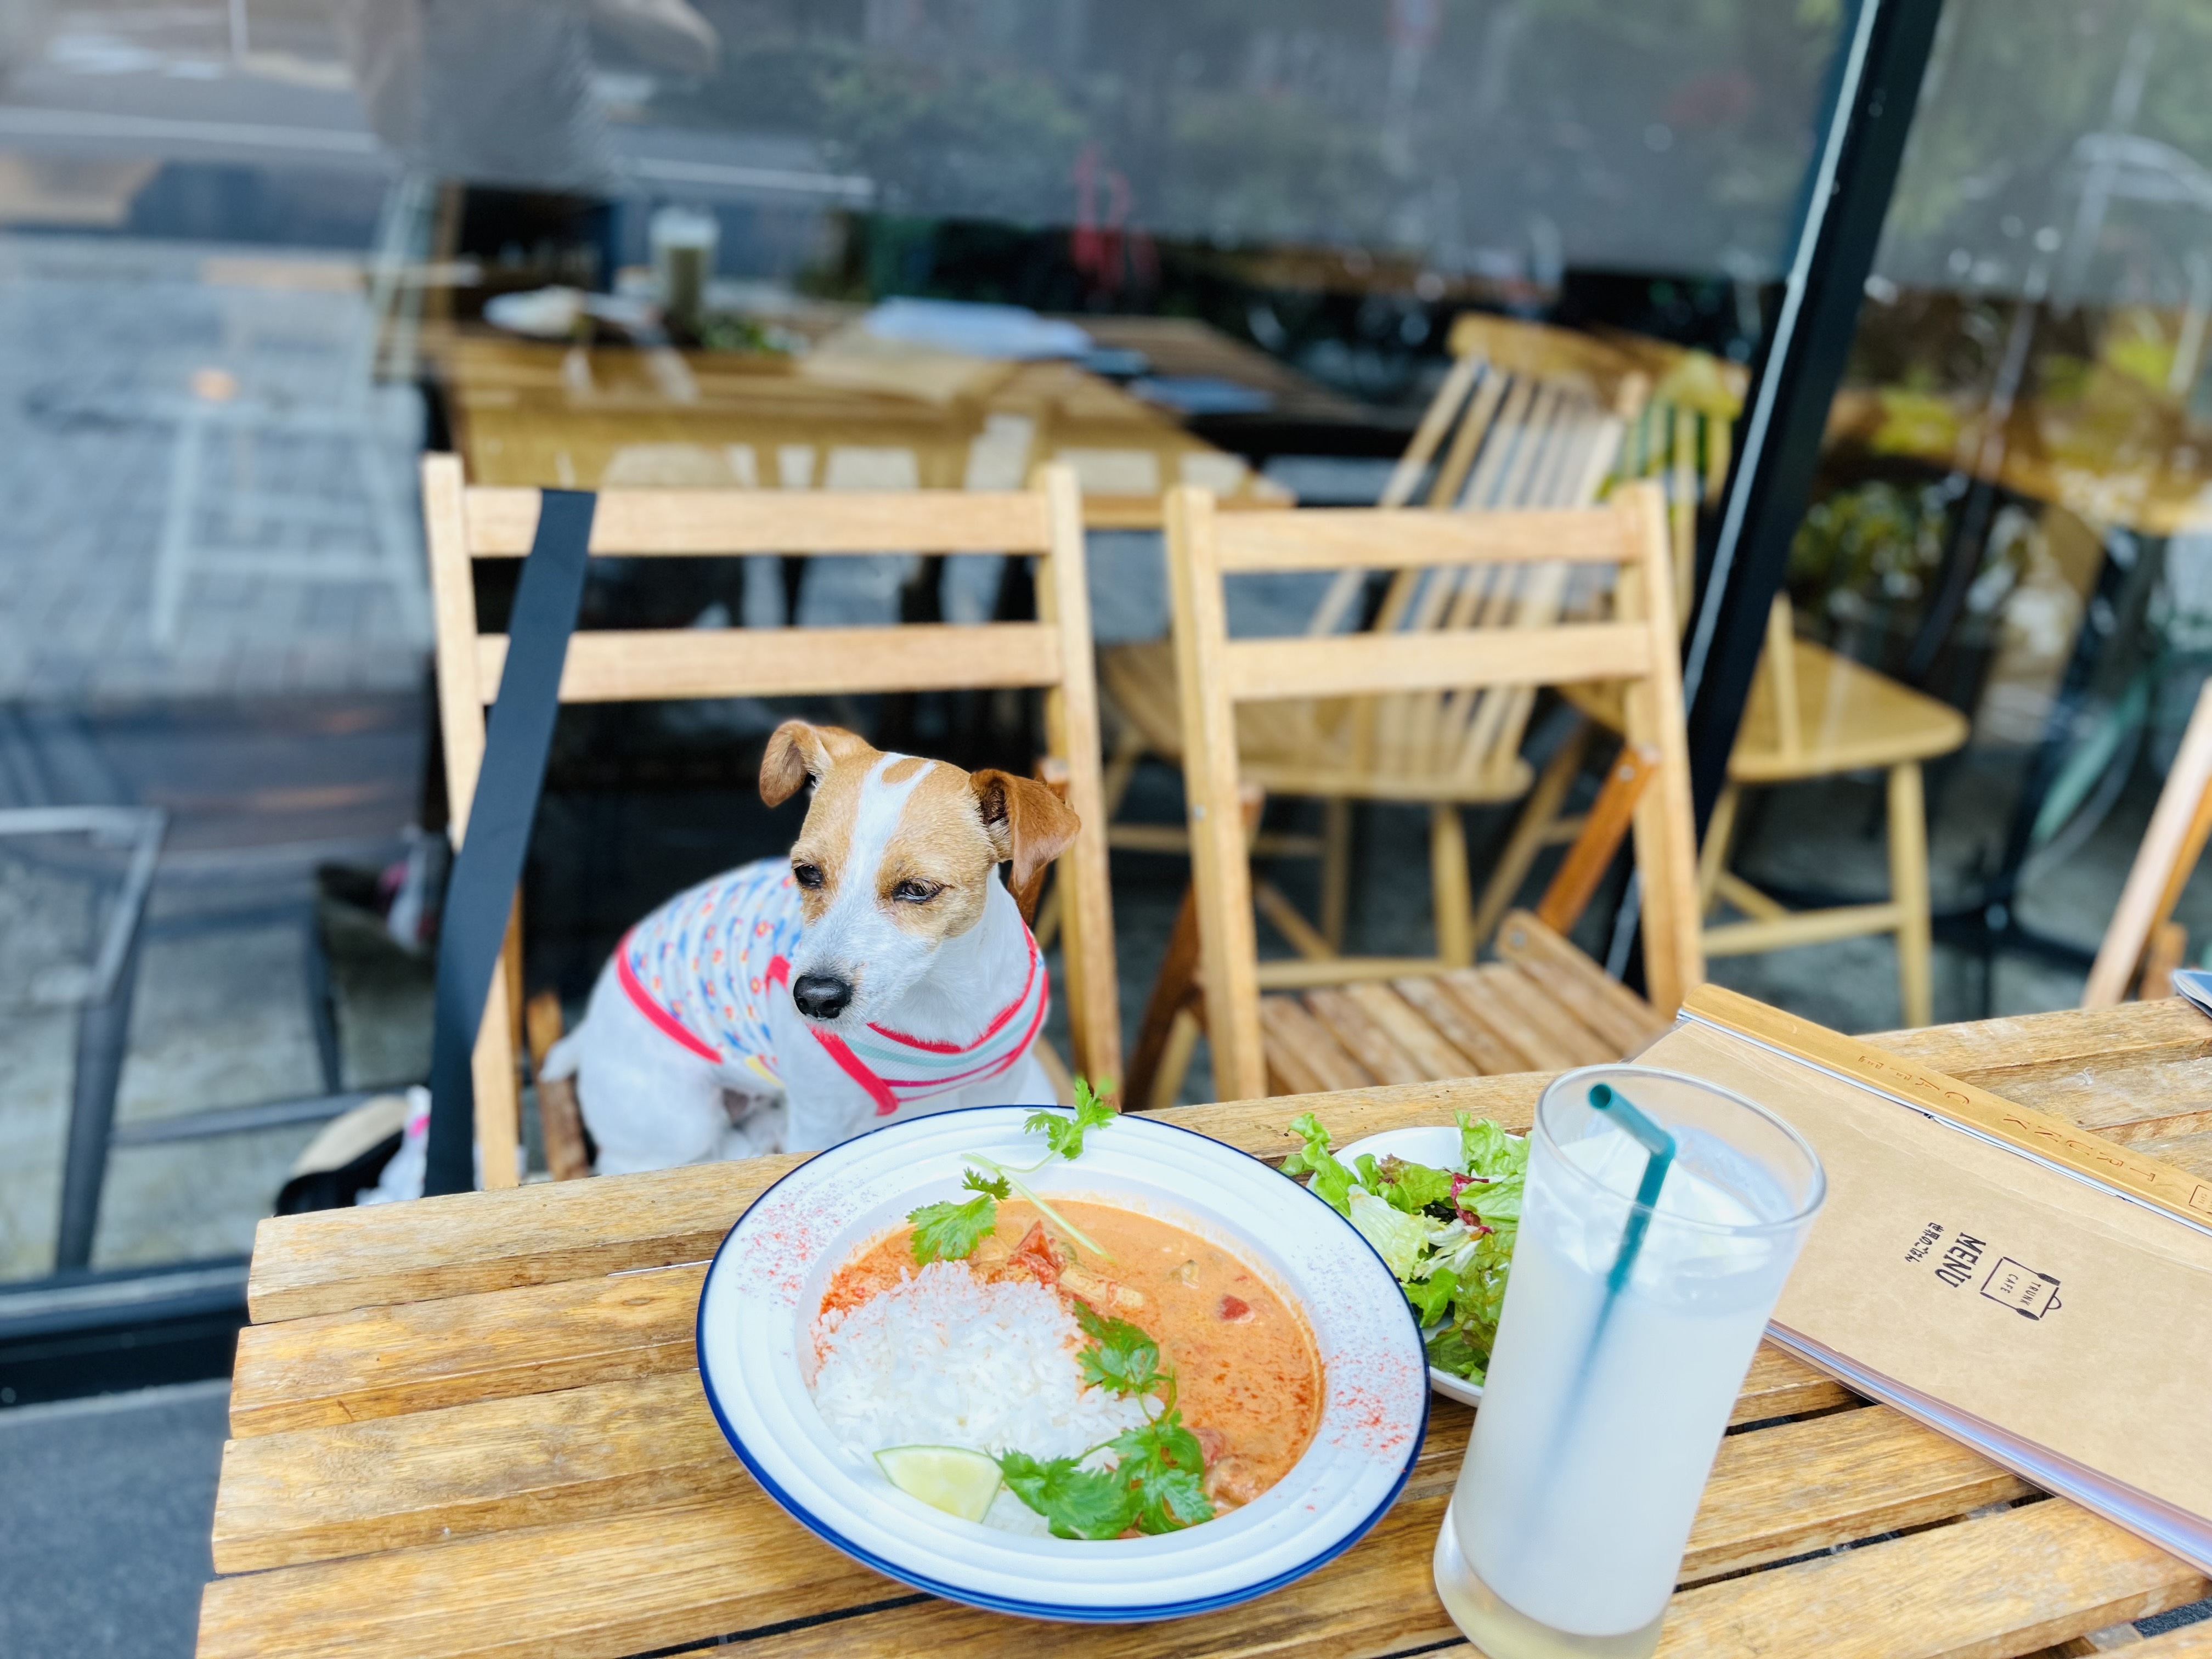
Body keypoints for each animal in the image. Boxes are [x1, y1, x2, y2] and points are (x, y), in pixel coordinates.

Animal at [544, 721, 1079, 1177]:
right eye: (807, 873)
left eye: (917, 890)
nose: (814, 999)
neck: (942, 1001)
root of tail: (586, 1033)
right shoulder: (820, 1124)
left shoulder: (998, 1089)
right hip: (677, 1124)